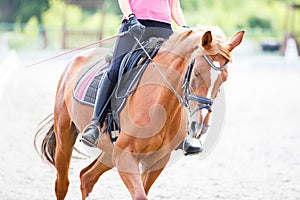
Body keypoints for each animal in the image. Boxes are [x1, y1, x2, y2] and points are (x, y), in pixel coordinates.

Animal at [34, 25, 244, 199]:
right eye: (197, 74)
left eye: (224, 79)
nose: (200, 125)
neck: (160, 103)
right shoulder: (125, 157)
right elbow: (140, 195)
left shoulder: (156, 160)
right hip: (65, 138)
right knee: (62, 184)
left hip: (109, 152)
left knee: (87, 177)